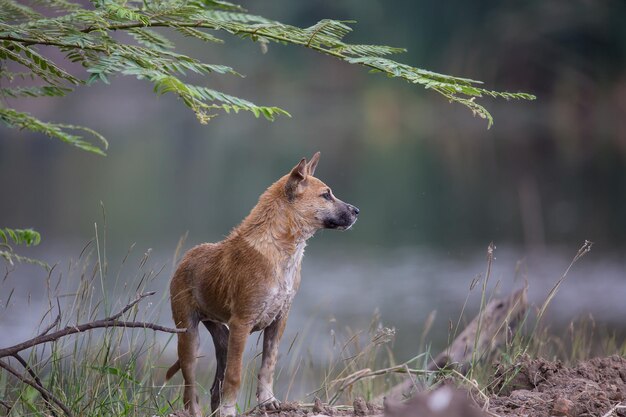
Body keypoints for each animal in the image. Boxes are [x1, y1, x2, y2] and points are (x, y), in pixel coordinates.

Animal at [163, 153, 358, 416]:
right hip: (189, 338)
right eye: (326, 195)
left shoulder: (278, 320)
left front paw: (268, 401)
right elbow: (235, 377)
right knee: (190, 391)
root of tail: (185, 260)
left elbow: (268, 365)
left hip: (221, 337)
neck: (281, 252)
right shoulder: (242, 323)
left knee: (214, 387)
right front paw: (230, 411)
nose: (356, 211)